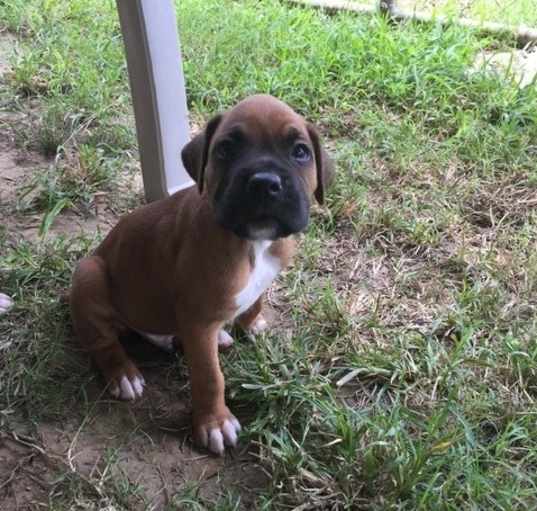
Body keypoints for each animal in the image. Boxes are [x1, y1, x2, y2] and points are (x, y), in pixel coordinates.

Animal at [69, 95, 332, 456]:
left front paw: (251, 323)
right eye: (226, 148)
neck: (252, 242)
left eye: (300, 151)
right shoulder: (198, 321)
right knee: (102, 341)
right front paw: (214, 423)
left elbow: (255, 301)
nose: (265, 183)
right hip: (90, 274)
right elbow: (210, 377)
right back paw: (123, 373)